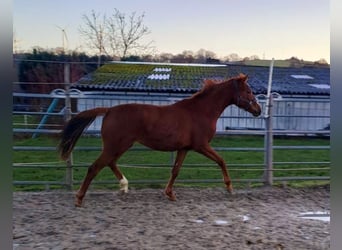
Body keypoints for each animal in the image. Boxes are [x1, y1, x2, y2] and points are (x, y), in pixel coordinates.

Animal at [59, 73, 262, 206]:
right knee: (95, 167)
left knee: (109, 163)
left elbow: (175, 171)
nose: (258, 110)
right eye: (248, 91)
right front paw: (229, 187)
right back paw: (79, 198)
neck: (200, 111)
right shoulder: (201, 145)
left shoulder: (184, 148)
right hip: (116, 145)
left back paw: (124, 186)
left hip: (120, 146)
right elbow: (221, 160)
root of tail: (108, 110)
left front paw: (170, 194)